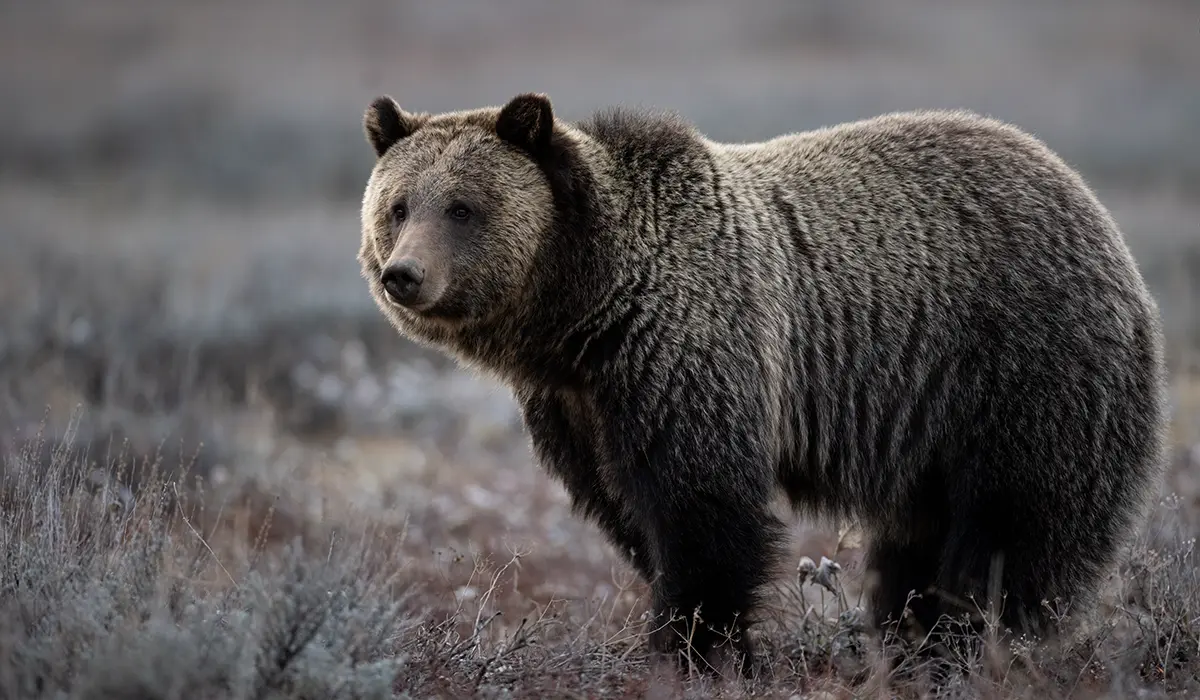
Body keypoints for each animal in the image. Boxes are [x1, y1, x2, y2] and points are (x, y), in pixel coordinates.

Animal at [357, 92, 1169, 671]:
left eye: (462, 206)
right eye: (397, 205)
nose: (404, 274)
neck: (587, 308)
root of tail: (1091, 205)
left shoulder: (689, 348)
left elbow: (704, 509)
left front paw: (698, 646)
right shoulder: (578, 404)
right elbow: (627, 511)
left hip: (1022, 363)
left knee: (1019, 524)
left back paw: (970, 639)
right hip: (929, 423)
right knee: (918, 533)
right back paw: (906, 631)